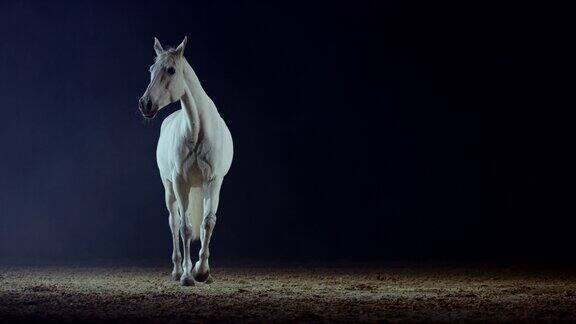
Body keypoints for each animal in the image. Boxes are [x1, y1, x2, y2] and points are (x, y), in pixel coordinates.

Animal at [138, 37, 233, 286]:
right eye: (151, 70)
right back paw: (176, 270)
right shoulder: (181, 182)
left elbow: (207, 223)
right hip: (170, 187)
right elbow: (185, 228)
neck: (198, 130)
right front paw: (188, 275)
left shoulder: (213, 181)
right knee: (174, 222)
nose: (145, 104)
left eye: (171, 70)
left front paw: (203, 271)